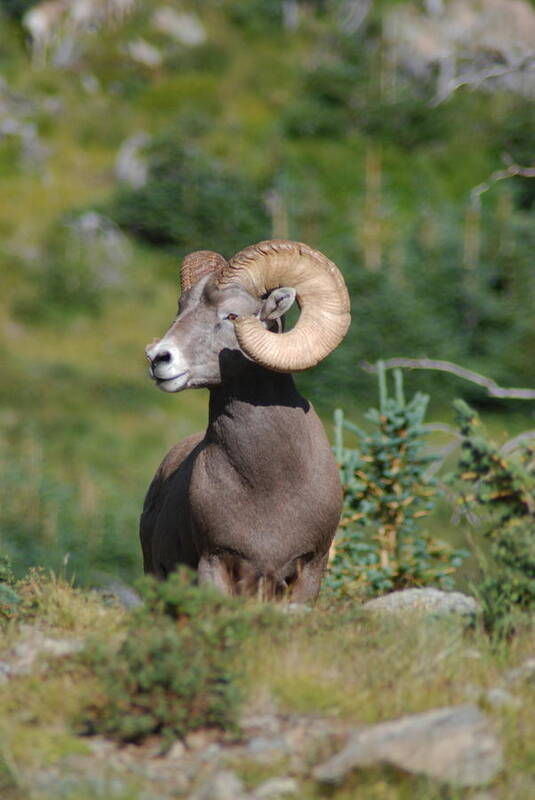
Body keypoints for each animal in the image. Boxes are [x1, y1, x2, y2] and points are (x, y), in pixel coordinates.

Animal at [142, 239, 352, 600]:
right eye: (181, 309)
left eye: (231, 315)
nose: (158, 358)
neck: (267, 483)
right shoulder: (215, 563)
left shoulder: (310, 569)